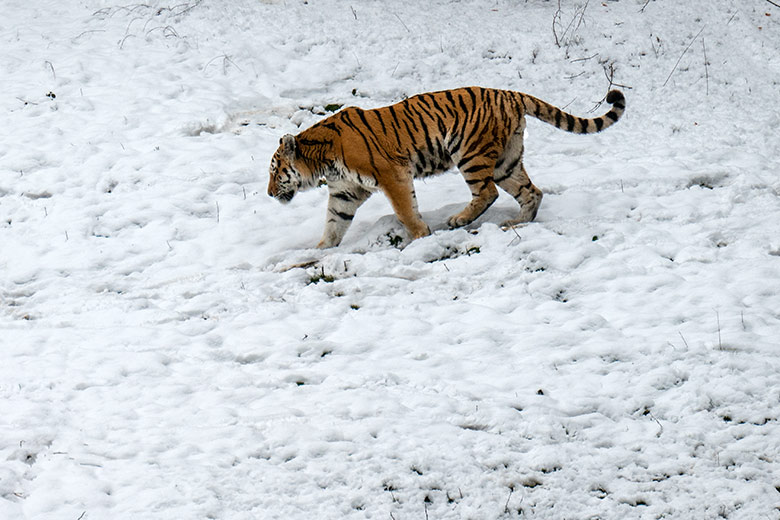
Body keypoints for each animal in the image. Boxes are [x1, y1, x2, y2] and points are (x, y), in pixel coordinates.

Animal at [266, 86, 624, 249]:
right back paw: (514, 223)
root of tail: (509, 93)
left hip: (470, 153)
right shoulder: (345, 191)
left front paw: (420, 236)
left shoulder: (392, 173)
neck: (322, 159)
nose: (269, 194)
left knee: (488, 192)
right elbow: (333, 222)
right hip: (507, 162)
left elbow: (405, 209)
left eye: (274, 170)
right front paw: (322, 250)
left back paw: (459, 220)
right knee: (531, 192)